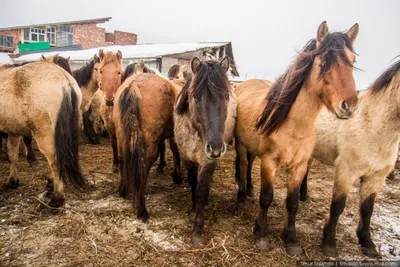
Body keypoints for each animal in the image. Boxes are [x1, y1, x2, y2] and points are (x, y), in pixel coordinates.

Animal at [0, 61, 86, 206]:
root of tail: (64, 79)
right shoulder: (13, 133)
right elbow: (12, 156)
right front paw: (13, 182)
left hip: (43, 133)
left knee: (54, 160)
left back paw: (57, 197)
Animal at [173, 57, 236, 247]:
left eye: (226, 96)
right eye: (196, 97)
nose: (215, 148)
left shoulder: (208, 161)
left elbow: (202, 190)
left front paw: (198, 230)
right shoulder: (187, 157)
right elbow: (193, 183)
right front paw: (193, 209)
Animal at [234, 21, 360, 255]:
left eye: (353, 60)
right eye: (324, 60)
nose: (349, 105)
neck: (294, 126)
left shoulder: (299, 166)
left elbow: (292, 203)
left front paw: (291, 240)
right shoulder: (269, 162)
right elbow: (267, 197)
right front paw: (261, 235)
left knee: (248, 166)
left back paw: (249, 190)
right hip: (240, 146)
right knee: (242, 165)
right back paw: (240, 199)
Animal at [296, 59, 400, 260]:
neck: (373, 127)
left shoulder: (376, 178)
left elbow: (367, 209)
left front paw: (368, 244)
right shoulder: (346, 172)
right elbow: (338, 206)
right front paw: (328, 244)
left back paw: (303, 195)